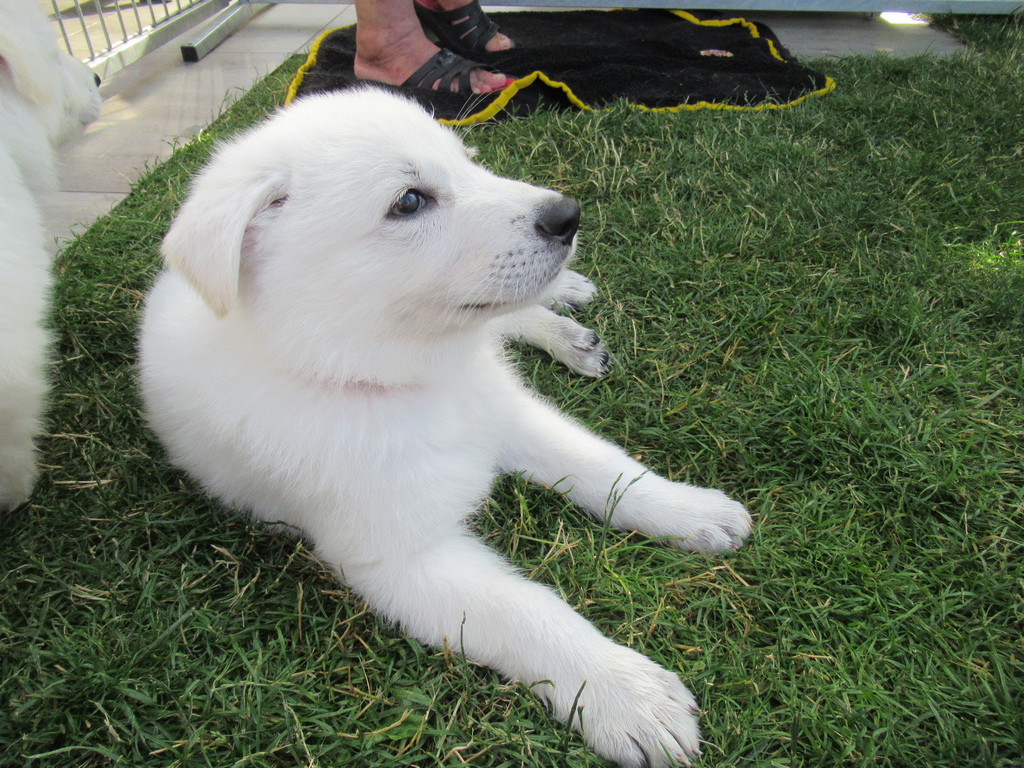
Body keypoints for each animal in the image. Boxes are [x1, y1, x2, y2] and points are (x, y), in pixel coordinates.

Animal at [139, 87, 751, 767]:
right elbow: (526, 611)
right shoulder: (399, 559)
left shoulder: (511, 412)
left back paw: (568, 318)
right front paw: (625, 694)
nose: (568, 216)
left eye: (468, 160)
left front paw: (691, 510)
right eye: (409, 202)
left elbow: (606, 468)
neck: (410, 379)